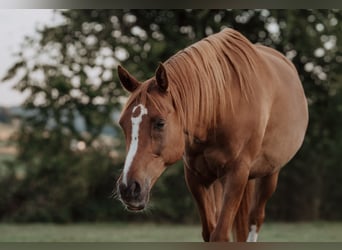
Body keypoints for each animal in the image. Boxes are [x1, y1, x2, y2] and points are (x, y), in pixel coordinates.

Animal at [116, 28, 308, 241]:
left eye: (160, 123)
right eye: (122, 124)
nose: (128, 188)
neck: (220, 108)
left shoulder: (237, 175)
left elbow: (220, 234)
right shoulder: (196, 177)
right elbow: (210, 231)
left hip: (270, 173)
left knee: (255, 219)